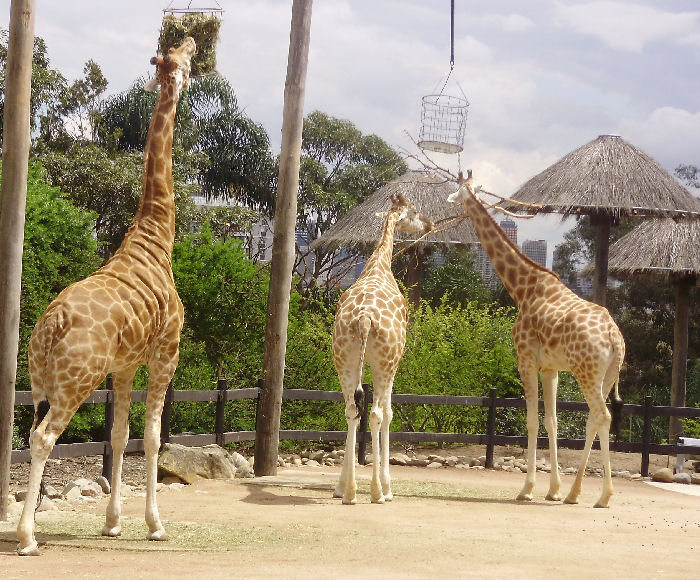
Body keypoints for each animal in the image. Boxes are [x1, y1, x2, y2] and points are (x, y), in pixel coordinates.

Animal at [16, 38, 196, 555]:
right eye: (185, 60)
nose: (194, 42)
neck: (156, 238)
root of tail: (52, 323)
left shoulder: (125, 364)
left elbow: (118, 435)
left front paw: (113, 523)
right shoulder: (166, 352)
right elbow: (152, 437)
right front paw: (155, 525)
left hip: (40, 381)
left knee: (27, 434)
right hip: (77, 379)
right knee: (42, 439)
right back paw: (27, 537)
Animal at [332, 193, 433, 504]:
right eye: (415, 211)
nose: (430, 224)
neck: (378, 265)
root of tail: (365, 319)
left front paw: (342, 487)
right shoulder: (394, 363)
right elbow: (388, 414)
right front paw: (388, 487)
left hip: (343, 359)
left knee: (351, 409)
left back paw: (348, 491)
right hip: (383, 363)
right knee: (376, 414)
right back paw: (378, 492)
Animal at [448, 170, 625, 508]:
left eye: (459, 190)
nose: (452, 207)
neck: (523, 288)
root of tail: (613, 337)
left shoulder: (525, 360)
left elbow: (531, 421)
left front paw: (527, 489)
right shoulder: (550, 368)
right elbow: (552, 422)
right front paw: (553, 489)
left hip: (586, 371)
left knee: (602, 415)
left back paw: (604, 495)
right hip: (607, 375)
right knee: (594, 420)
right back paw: (573, 493)